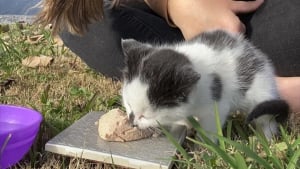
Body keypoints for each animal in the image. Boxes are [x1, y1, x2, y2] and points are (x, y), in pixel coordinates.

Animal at [120, 29, 290, 139]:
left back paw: (266, 139)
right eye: (128, 104)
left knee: (266, 118)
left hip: (262, 91)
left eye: (146, 115)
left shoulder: (216, 105)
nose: (132, 122)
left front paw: (206, 148)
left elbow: (211, 127)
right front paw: (184, 124)